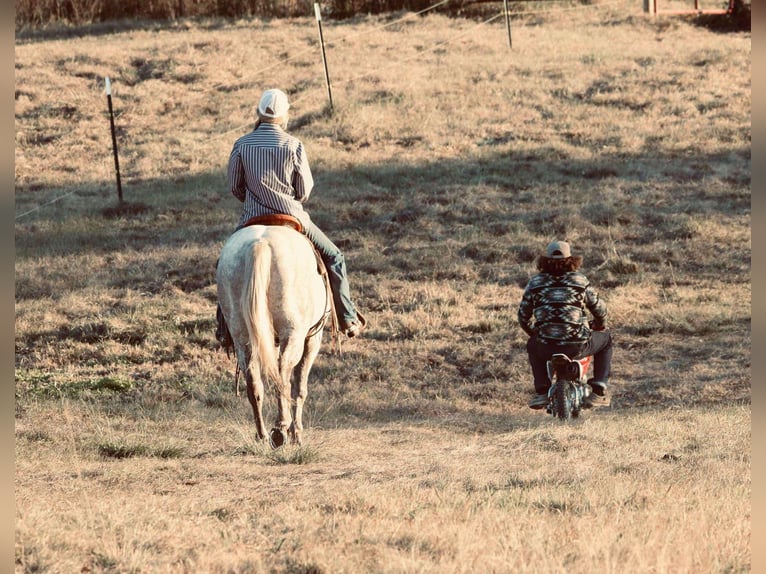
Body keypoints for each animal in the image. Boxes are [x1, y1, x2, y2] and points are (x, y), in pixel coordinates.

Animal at [219, 222, 332, 450]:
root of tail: (260, 243)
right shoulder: (312, 339)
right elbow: (299, 387)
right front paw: (296, 433)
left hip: (242, 336)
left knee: (254, 383)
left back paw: (263, 434)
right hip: (294, 334)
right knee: (283, 375)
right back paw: (281, 429)